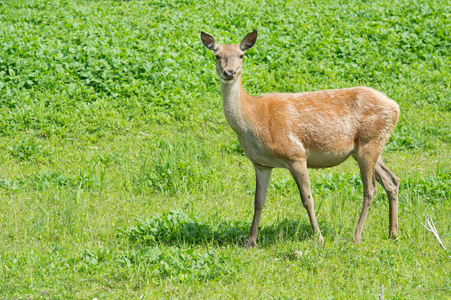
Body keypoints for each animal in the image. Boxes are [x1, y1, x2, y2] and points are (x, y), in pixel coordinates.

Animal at [203, 29, 400, 248]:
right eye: (217, 55)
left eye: (241, 55)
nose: (229, 72)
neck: (252, 119)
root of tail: (395, 106)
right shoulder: (261, 163)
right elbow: (258, 201)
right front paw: (249, 242)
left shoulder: (295, 155)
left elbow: (307, 198)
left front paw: (319, 238)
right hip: (368, 148)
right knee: (392, 180)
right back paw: (393, 233)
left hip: (369, 143)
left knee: (370, 189)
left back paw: (356, 236)